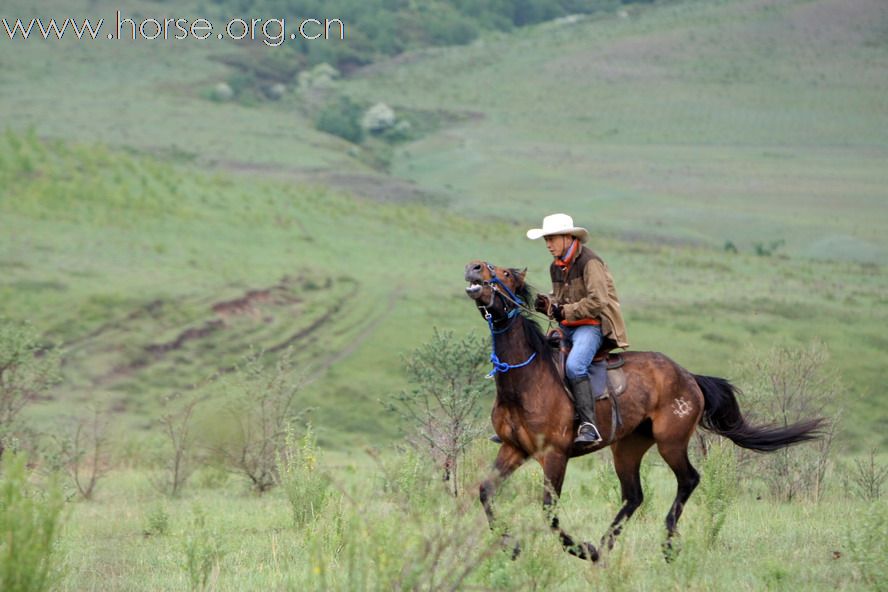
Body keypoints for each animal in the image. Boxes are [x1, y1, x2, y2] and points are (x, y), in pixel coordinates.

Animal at [464, 260, 824, 560]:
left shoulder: (554, 454)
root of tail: (689, 376)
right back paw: (605, 547)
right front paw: (510, 544)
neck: (526, 380)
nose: (474, 268)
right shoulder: (513, 449)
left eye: (505, 273)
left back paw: (665, 544)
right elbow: (486, 492)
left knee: (688, 479)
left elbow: (549, 510)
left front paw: (580, 548)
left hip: (670, 442)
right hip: (628, 446)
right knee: (634, 495)